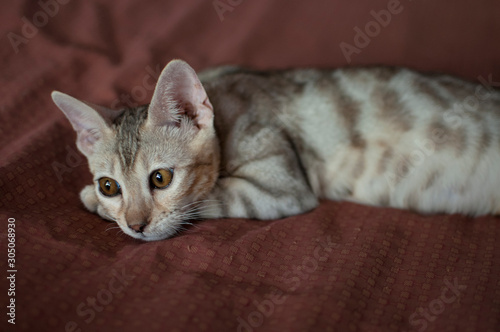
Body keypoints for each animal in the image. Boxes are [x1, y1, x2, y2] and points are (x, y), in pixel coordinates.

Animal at [51, 59, 500, 241]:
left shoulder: (280, 188)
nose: (136, 226)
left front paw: (88, 201)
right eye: (111, 186)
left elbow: (213, 196)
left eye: (161, 178)